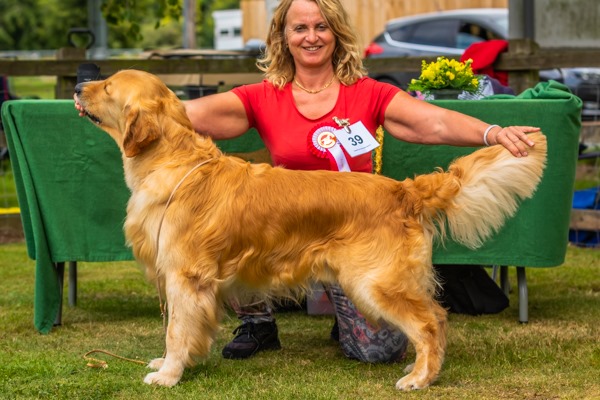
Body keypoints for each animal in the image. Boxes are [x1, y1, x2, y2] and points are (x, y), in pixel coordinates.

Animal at [73, 69, 547, 390]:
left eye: (109, 87)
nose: (78, 88)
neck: (173, 163)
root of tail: (403, 190)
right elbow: (187, 330)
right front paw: (176, 363)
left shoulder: (184, 275)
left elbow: (175, 329)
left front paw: (169, 374)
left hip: (375, 283)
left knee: (432, 321)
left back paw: (419, 377)